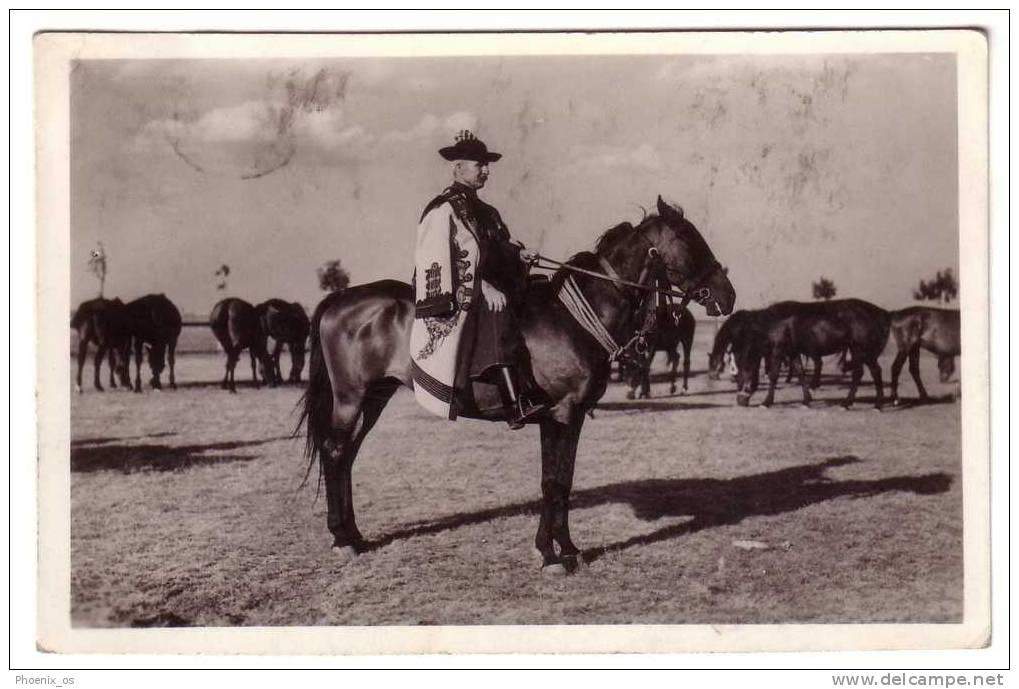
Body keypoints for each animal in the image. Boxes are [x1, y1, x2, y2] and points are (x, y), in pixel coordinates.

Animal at [297, 196, 737, 574]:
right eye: (689, 239)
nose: (727, 296)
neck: (573, 319)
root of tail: (339, 299)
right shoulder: (560, 414)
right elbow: (552, 482)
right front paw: (551, 554)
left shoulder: (571, 417)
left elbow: (564, 480)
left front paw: (568, 548)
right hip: (350, 397)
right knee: (335, 451)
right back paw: (343, 539)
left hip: (376, 396)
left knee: (348, 454)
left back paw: (354, 535)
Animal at [733, 299, 892, 409]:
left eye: (744, 367)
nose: (739, 401)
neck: (775, 322)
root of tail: (882, 312)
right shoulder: (793, 352)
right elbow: (800, 372)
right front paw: (806, 401)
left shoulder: (778, 350)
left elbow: (774, 375)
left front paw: (766, 402)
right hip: (861, 351)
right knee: (870, 372)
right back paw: (872, 404)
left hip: (862, 349)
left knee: (864, 372)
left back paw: (854, 404)